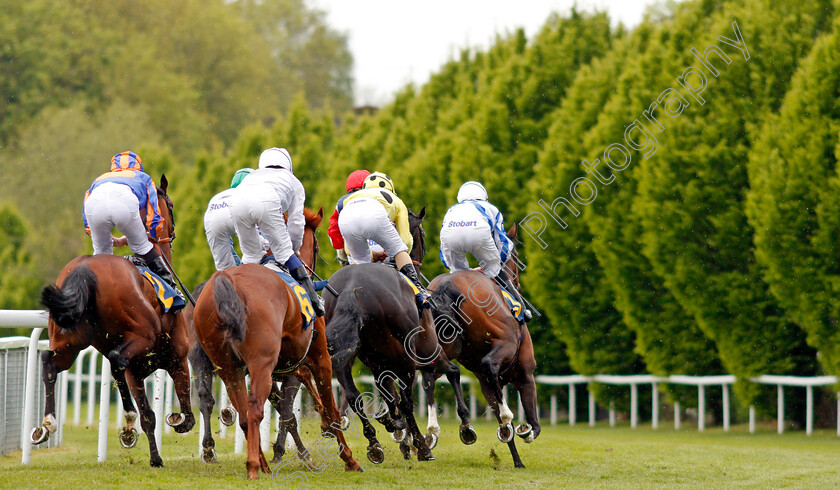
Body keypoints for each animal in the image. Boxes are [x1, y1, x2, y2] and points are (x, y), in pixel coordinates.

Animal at [34, 175, 195, 468]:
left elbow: (149, 416)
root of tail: (84, 269)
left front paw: (154, 457)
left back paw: (47, 424)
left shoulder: (137, 372)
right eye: (171, 205)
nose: (173, 234)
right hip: (142, 335)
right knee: (115, 358)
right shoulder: (177, 358)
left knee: (49, 361)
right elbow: (185, 413)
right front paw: (175, 423)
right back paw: (127, 422)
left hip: (70, 340)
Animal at [185, 207, 326, 464]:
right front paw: (293, 451)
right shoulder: (291, 368)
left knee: (205, 398)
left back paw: (209, 448)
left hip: (204, 358)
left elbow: (281, 406)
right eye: (318, 247)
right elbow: (287, 410)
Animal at [192, 225, 360, 478]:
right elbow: (325, 406)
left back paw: (261, 464)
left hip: (228, 368)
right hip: (260, 364)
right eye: (317, 245)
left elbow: (290, 408)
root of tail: (226, 283)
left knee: (242, 414)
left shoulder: (286, 367)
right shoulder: (318, 358)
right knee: (254, 408)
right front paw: (348, 458)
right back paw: (254, 466)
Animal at [322, 209, 470, 466]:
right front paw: (464, 427)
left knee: (353, 395)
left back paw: (375, 443)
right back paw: (422, 446)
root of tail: (352, 288)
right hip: (407, 357)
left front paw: (394, 426)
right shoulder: (427, 353)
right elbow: (451, 372)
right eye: (422, 234)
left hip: (347, 353)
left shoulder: (379, 362)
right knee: (408, 401)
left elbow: (389, 395)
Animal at [424, 221, 540, 468]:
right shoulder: (526, 373)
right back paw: (504, 417)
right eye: (516, 255)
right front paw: (524, 431)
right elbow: (534, 424)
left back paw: (444, 429)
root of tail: (447, 285)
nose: (517, 284)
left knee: (433, 375)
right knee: (488, 365)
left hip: (444, 345)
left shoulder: (486, 384)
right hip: (503, 344)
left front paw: (516, 459)